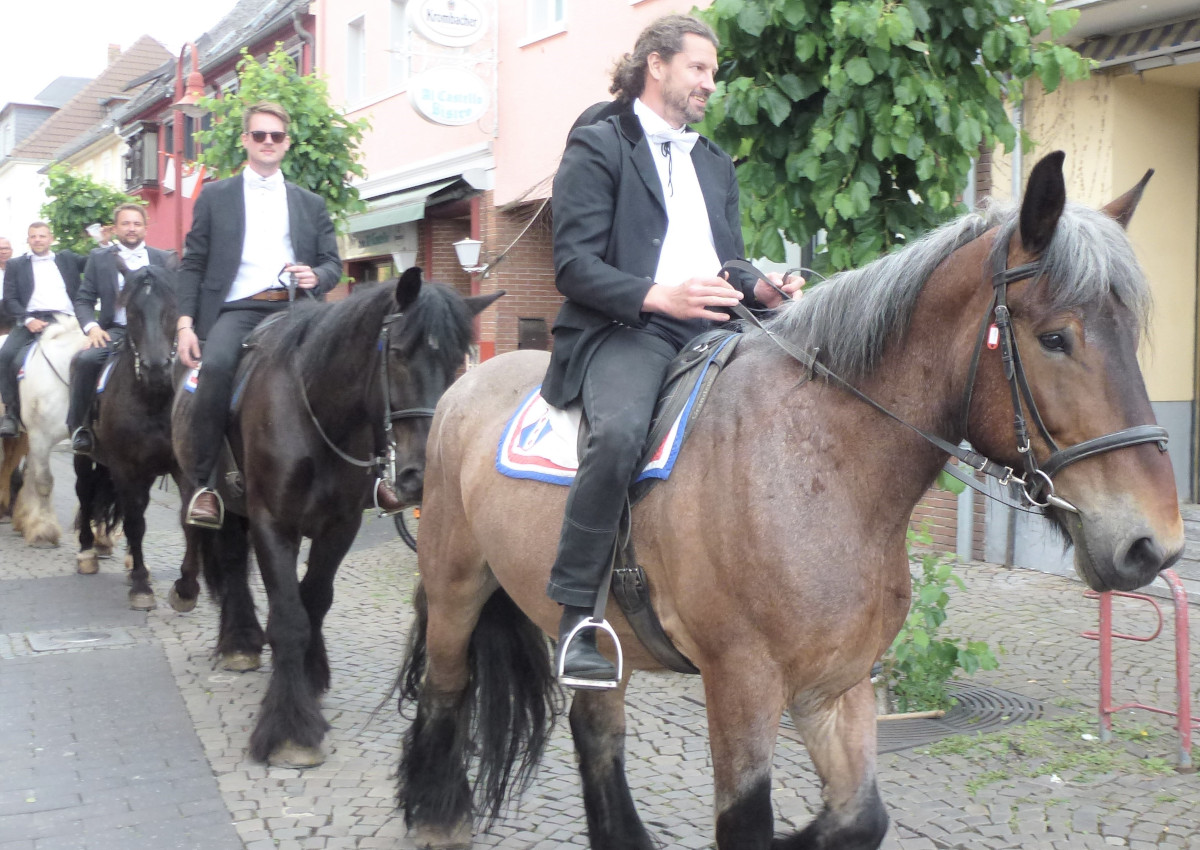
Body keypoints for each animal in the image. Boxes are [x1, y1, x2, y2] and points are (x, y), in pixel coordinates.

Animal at [73, 261, 196, 607]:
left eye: (172, 308)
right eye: (131, 310)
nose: (157, 369)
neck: (153, 397)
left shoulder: (179, 468)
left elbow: (185, 520)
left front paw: (186, 587)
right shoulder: (126, 468)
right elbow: (135, 522)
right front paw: (141, 587)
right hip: (85, 458)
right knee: (85, 493)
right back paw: (87, 552)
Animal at [171, 268, 499, 768]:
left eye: (457, 362)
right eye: (398, 353)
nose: (422, 475)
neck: (315, 415)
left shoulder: (340, 527)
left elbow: (315, 601)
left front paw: (309, 677)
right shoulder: (273, 525)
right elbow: (289, 618)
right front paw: (290, 729)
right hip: (212, 497)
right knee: (227, 560)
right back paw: (239, 641)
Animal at [398, 152, 1185, 850]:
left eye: (1131, 337)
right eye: (1055, 338)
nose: (1153, 544)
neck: (819, 468)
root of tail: (469, 382)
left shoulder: (836, 685)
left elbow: (861, 816)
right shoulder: (742, 685)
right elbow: (747, 826)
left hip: (597, 636)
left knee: (595, 729)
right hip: (455, 584)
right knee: (445, 688)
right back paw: (439, 817)